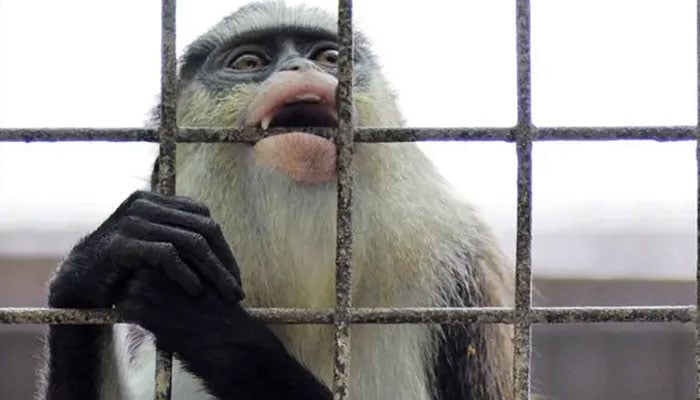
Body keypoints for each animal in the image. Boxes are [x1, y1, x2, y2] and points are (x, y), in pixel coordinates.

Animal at [38, 3, 516, 400]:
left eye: (329, 57)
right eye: (250, 62)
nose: (298, 66)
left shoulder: (467, 282)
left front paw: (208, 323)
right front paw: (105, 253)